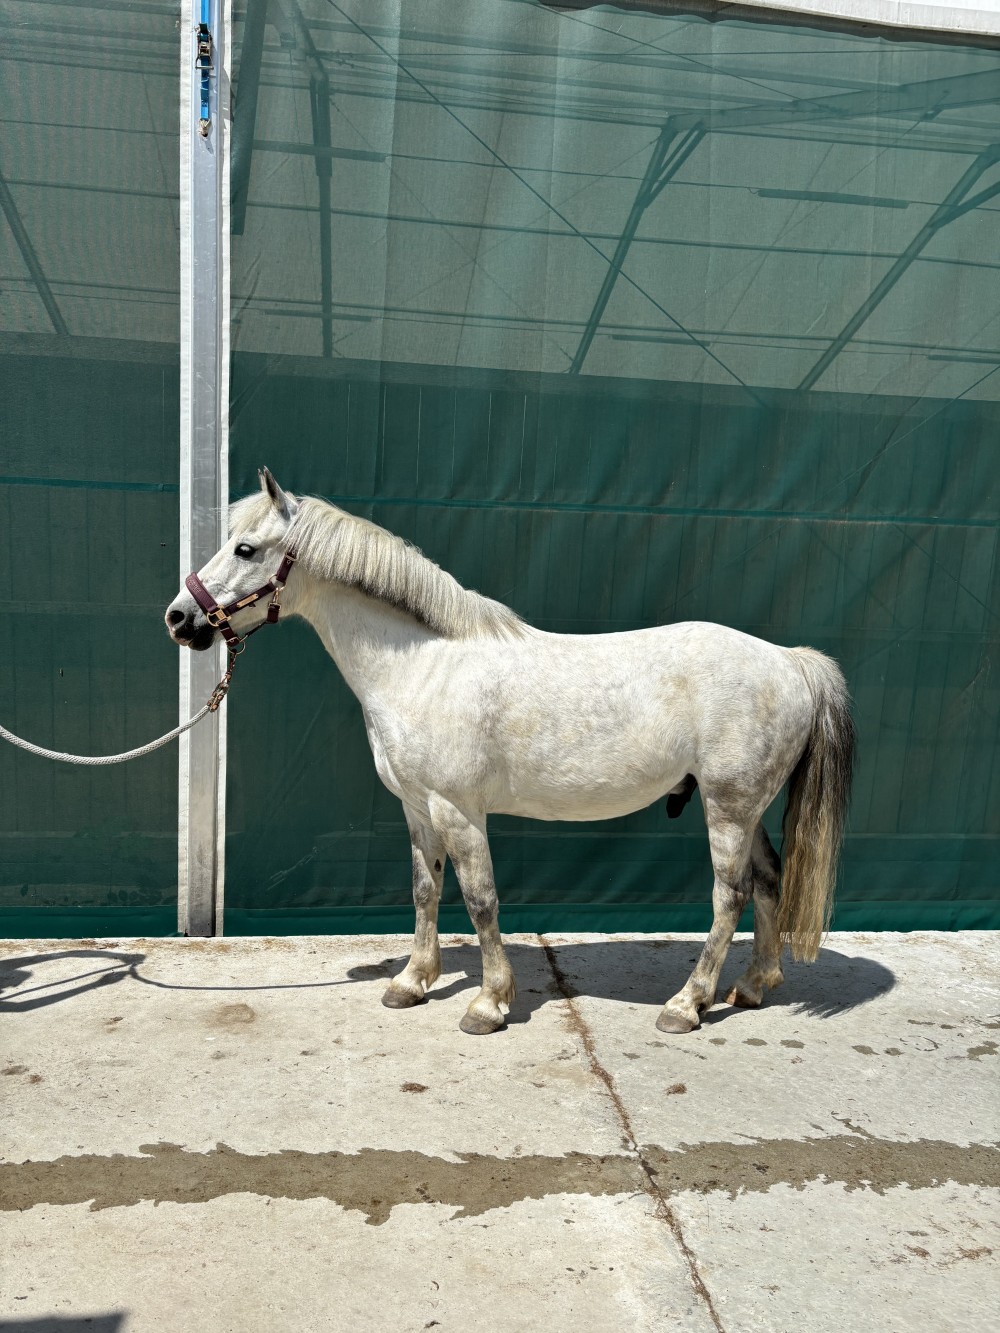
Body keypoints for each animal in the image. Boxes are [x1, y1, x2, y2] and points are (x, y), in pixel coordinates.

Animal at [166, 469, 855, 1036]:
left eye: (246, 549)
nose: (179, 619)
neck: (424, 665)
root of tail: (790, 661)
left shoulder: (459, 811)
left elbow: (480, 899)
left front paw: (489, 1004)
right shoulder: (417, 809)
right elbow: (424, 890)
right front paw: (411, 982)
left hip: (729, 808)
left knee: (729, 895)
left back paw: (687, 1004)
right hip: (746, 807)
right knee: (768, 881)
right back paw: (753, 986)